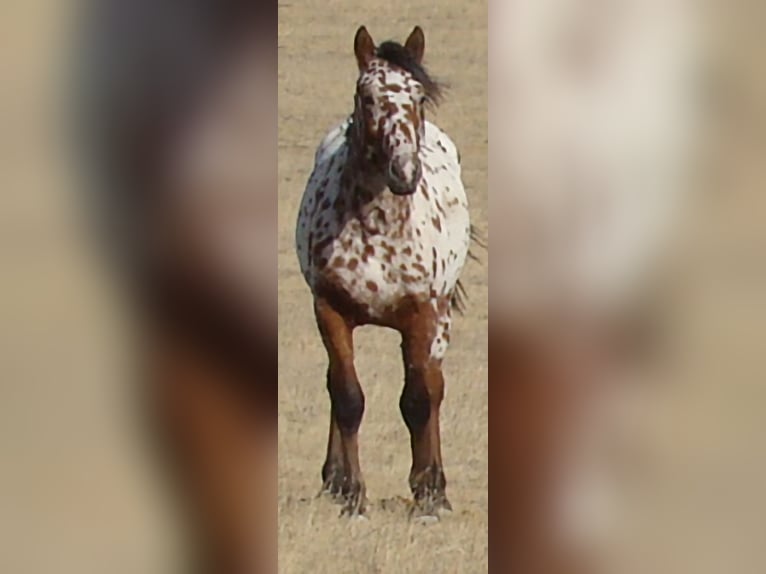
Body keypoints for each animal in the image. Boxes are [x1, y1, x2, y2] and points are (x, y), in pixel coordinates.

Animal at [296, 24, 476, 520]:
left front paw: (429, 494)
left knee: (433, 388)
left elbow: (418, 399)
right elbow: (347, 396)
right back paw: (334, 481)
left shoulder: (422, 316)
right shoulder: (330, 311)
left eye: (418, 95)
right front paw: (352, 493)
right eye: (367, 96)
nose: (404, 172)